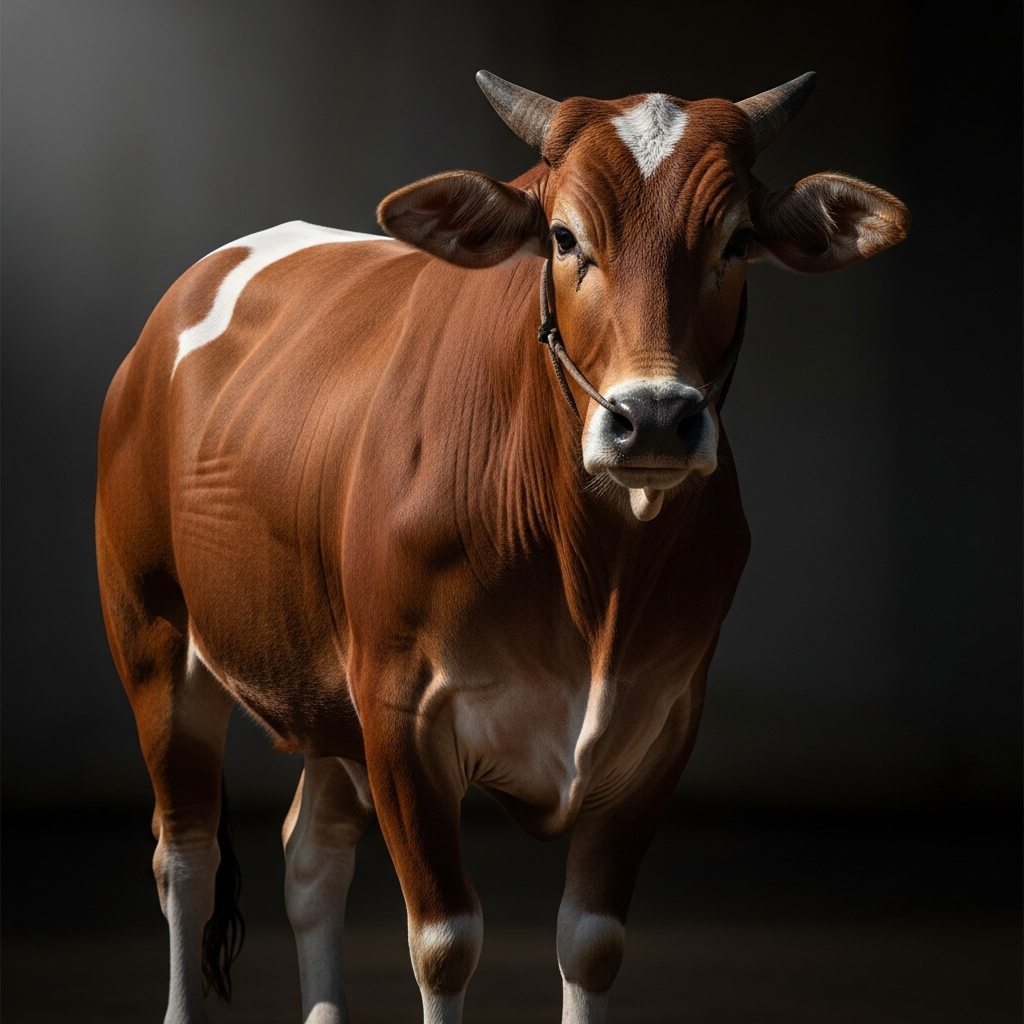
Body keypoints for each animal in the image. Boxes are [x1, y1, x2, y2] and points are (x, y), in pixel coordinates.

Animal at [95, 70, 908, 1024]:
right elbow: (445, 945)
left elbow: (591, 946)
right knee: (184, 858)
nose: (654, 419)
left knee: (311, 858)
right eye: (563, 237)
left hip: (328, 693)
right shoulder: (402, 712)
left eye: (737, 241)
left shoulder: (660, 725)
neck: (594, 584)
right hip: (155, 642)